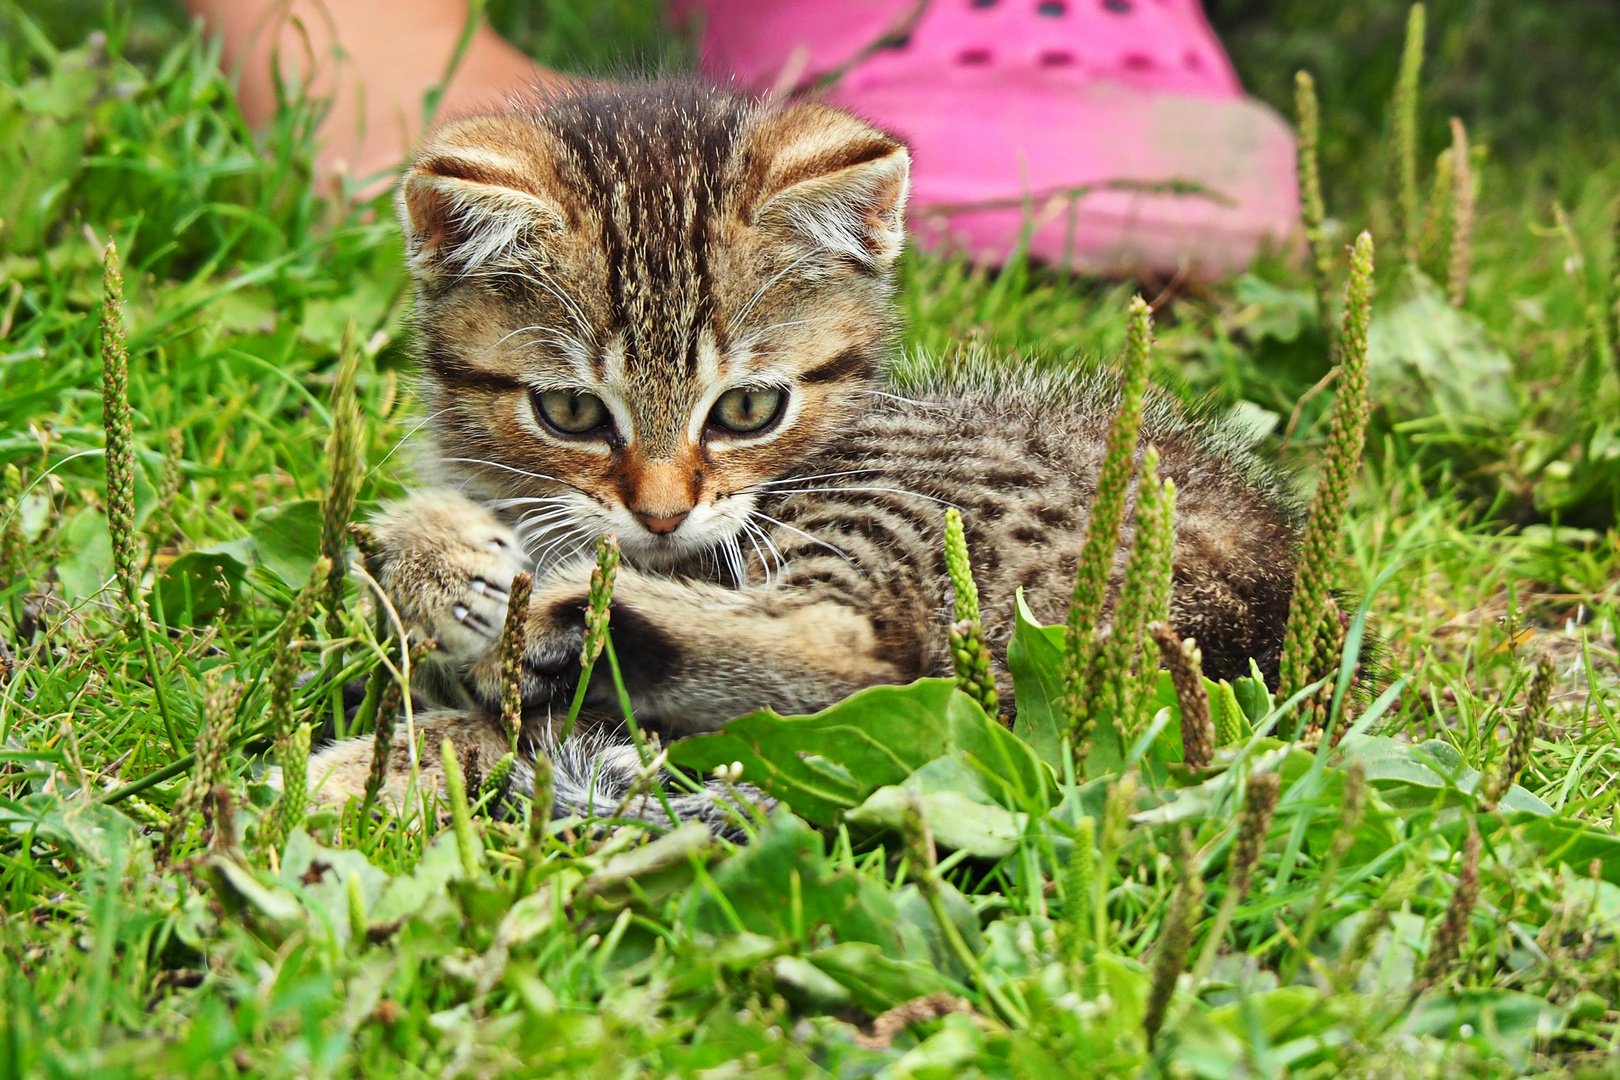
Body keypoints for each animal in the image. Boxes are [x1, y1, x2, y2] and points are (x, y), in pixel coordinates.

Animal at [304, 82, 1296, 829]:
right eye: (571, 411)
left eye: (748, 408)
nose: (661, 513)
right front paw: (436, 568)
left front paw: (383, 746)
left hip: (891, 499)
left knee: (857, 657)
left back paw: (558, 612)